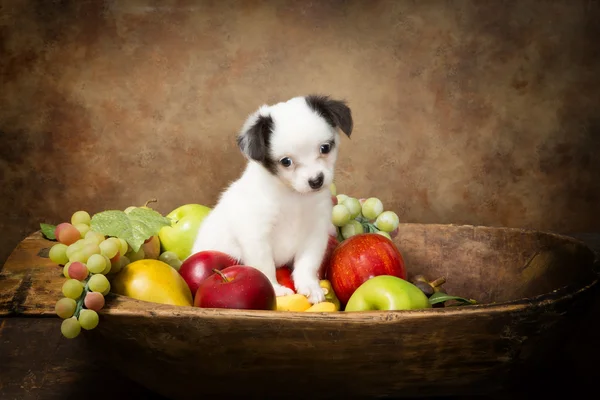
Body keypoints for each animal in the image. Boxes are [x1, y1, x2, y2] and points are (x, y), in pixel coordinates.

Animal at [191, 95, 352, 304]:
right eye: (286, 162)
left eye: (325, 148)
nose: (316, 180)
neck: (294, 197)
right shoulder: (257, 236)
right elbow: (264, 265)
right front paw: (275, 289)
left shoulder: (315, 233)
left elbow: (307, 263)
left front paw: (309, 286)